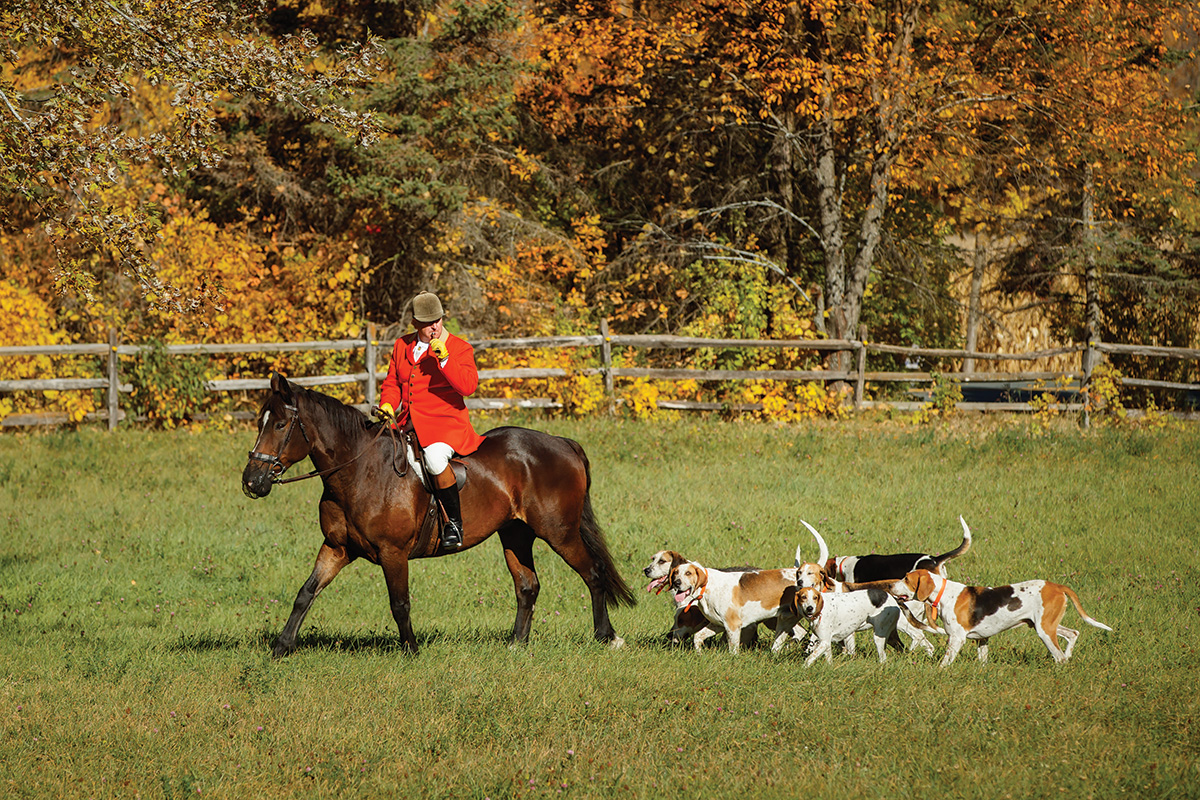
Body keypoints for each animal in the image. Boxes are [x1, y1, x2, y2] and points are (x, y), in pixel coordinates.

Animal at [242, 376, 638, 657]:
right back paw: (516, 645)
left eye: (280, 425)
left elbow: (399, 603)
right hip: (515, 533)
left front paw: (412, 651)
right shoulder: (337, 548)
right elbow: (305, 593)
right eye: (261, 422)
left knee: (592, 573)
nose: (251, 481)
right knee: (527, 585)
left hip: (559, 531)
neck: (360, 470)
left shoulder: (393, 553)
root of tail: (562, 442)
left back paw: (607, 637)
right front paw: (281, 648)